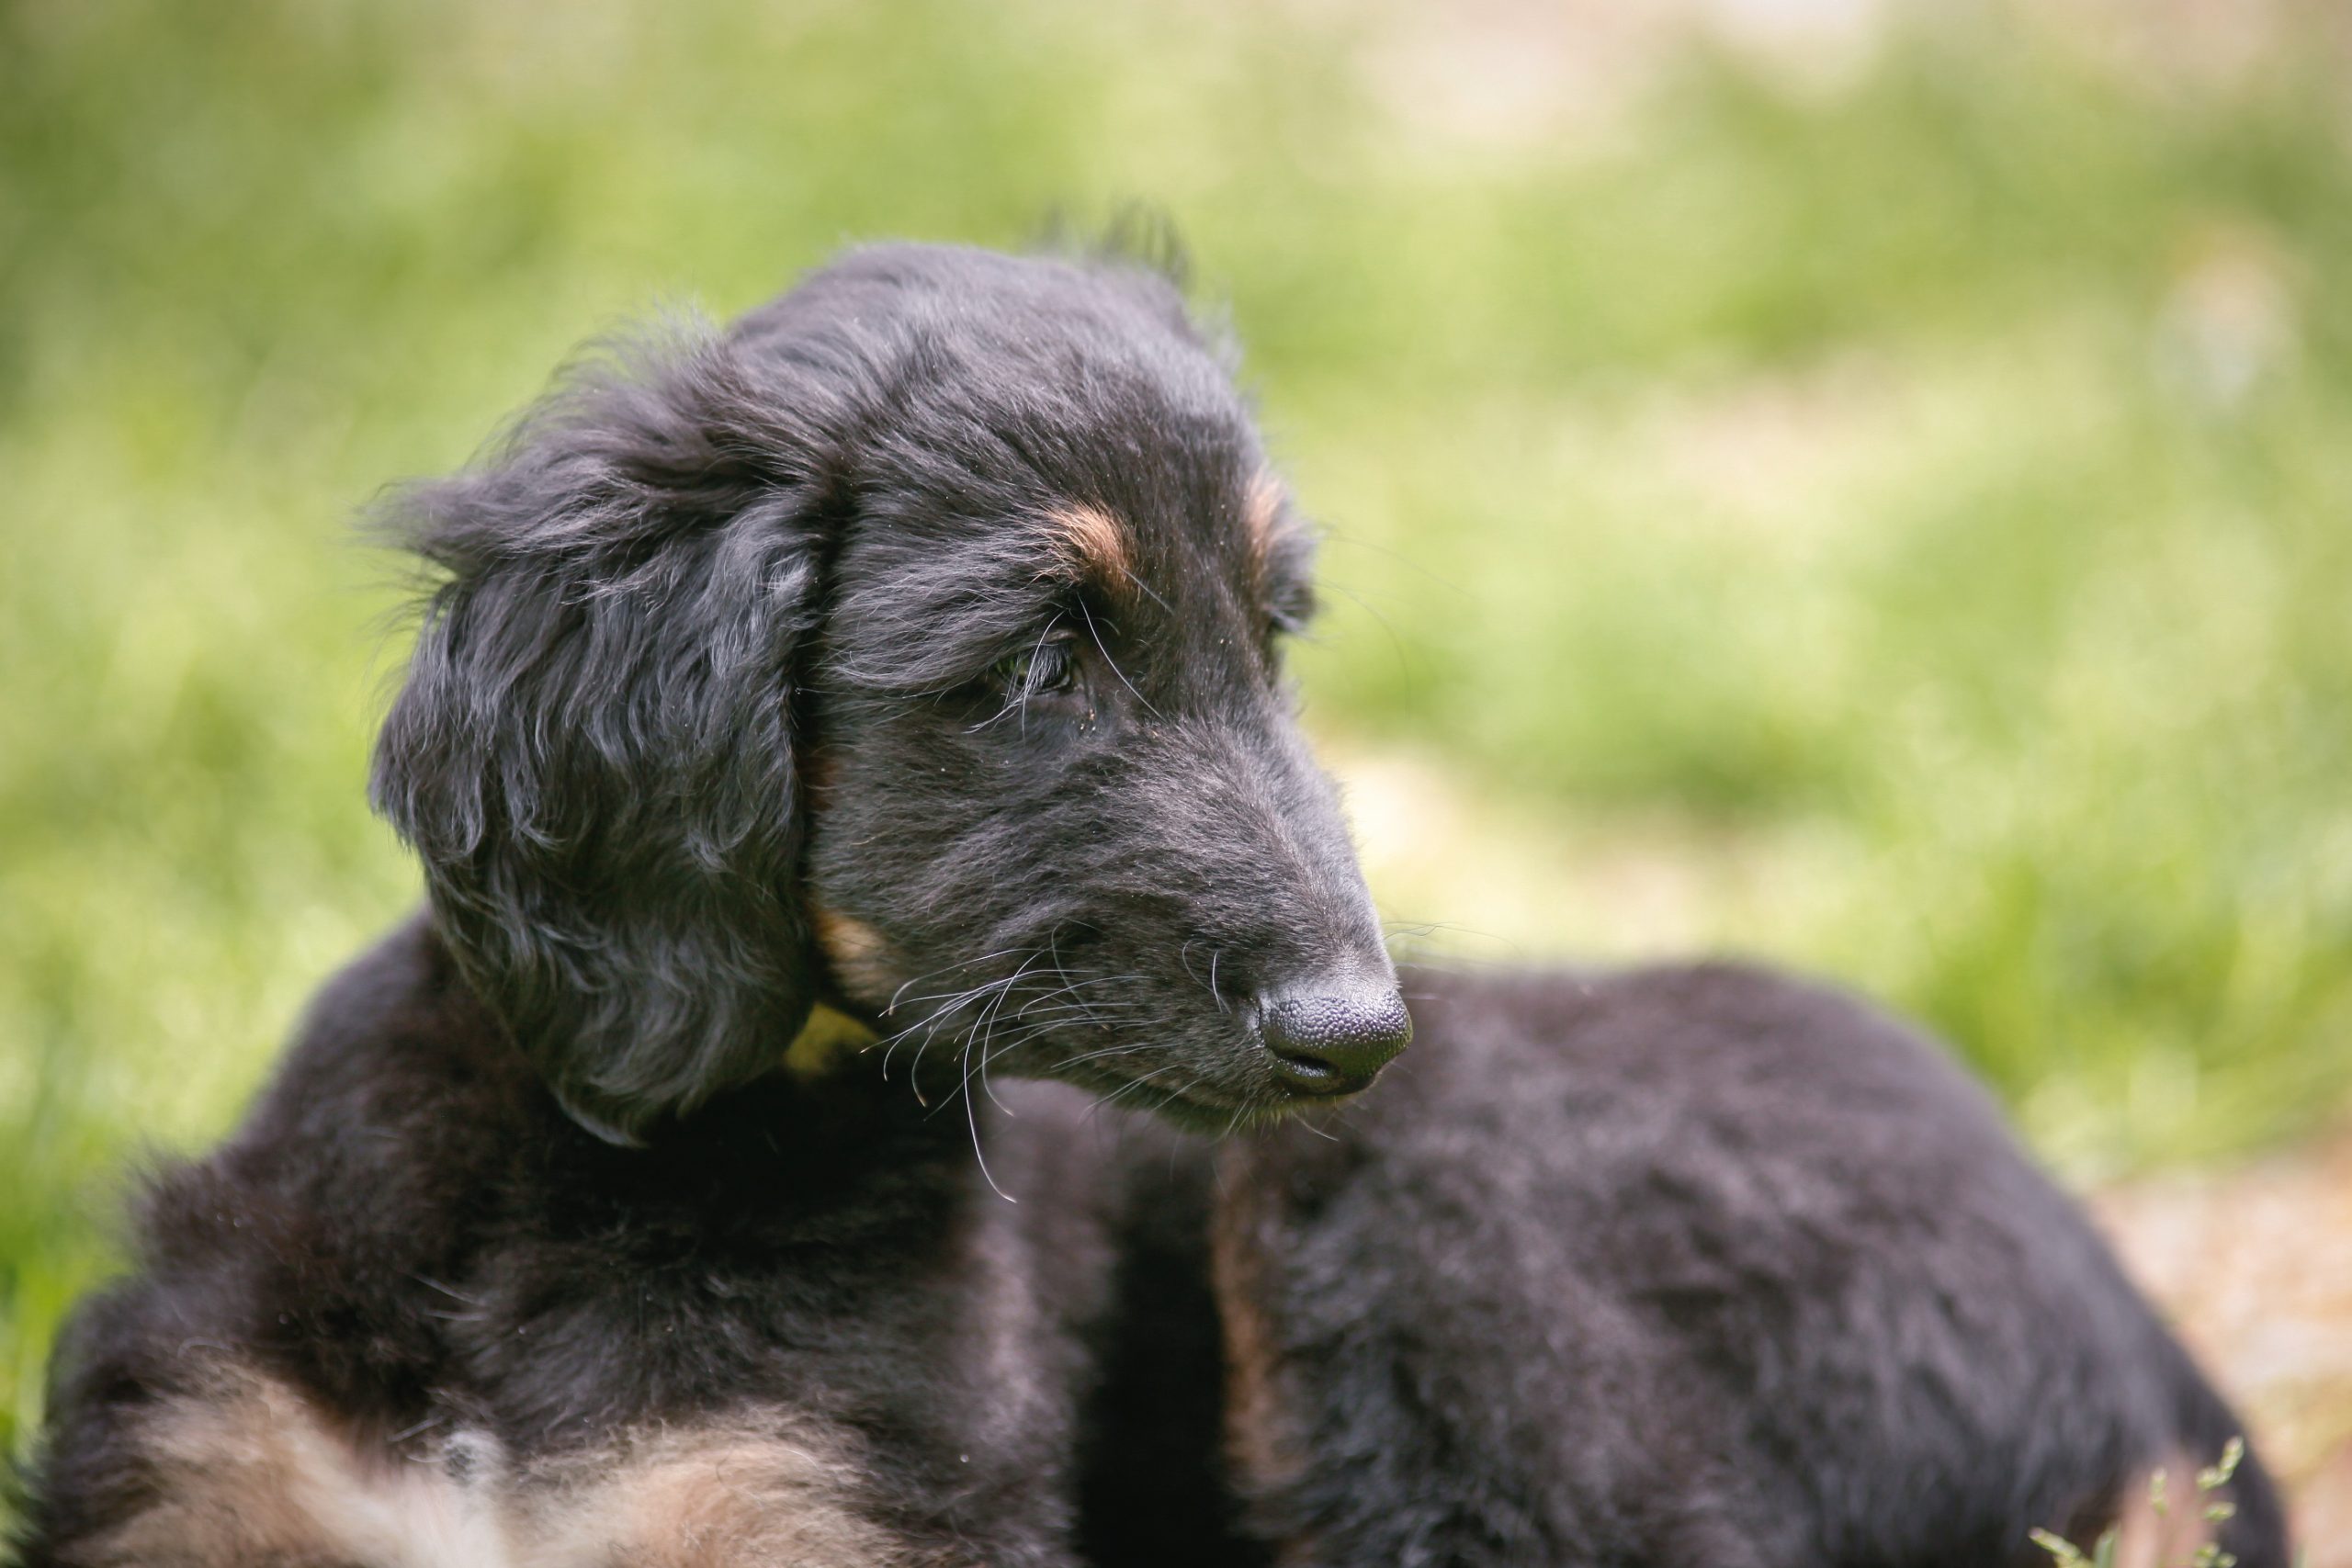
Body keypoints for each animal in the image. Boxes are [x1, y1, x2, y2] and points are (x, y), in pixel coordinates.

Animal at [18, 240, 1401, 1561]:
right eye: (1034, 666)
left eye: (1269, 640)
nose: (1360, 1034)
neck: (633, 1160)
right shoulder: (210, 1440)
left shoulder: (819, 1487)